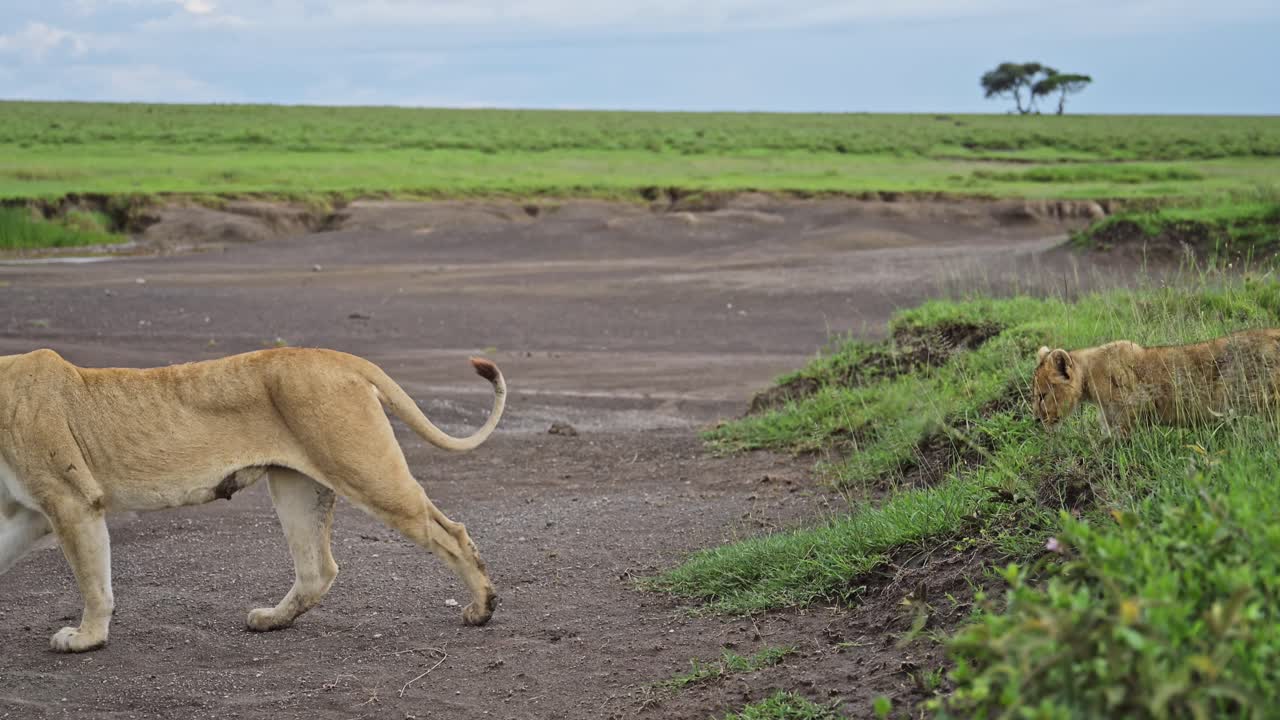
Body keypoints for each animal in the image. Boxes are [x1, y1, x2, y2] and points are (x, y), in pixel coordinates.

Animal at [0, 347, 505, 653]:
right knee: (318, 569)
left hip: (366, 471)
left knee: (451, 532)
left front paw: (85, 638)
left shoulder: (71, 500)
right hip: (296, 486)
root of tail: (342, 358)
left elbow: (93, 582)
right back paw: (271, 620)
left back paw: (482, 608)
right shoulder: (27, 512)